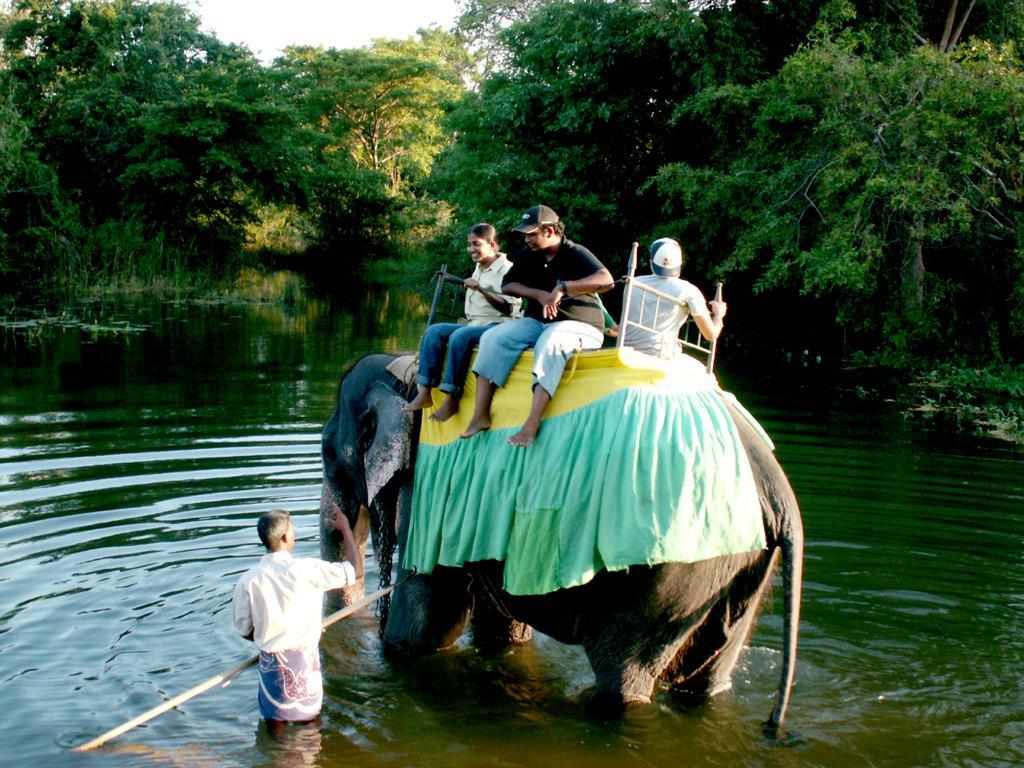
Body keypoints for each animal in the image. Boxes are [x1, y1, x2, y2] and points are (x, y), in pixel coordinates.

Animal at [323, 354, 802, 733]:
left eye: (328, 451)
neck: (407, 372)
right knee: (707, 675)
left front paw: (399, 652)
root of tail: (779, 491)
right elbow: (500, 626)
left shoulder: (431, 495)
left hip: (673, 572)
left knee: (624, 675)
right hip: (739, 566)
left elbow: (429, 624)